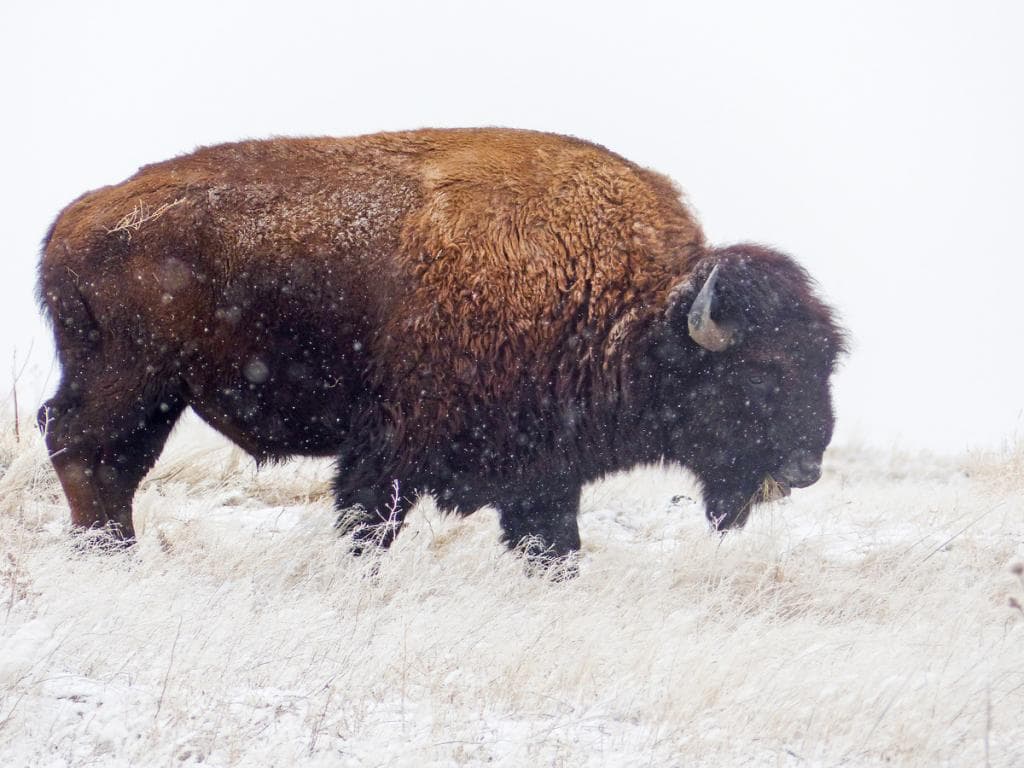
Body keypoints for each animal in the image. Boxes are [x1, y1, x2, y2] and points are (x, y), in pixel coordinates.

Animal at [38, 128, 845, 563]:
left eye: (824, 362)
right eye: (760, 374)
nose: (804, 467)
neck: (626, 308)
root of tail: (76, 217)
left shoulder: (545, 475)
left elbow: (553, 548)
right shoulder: (388, 451)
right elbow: (367, 529)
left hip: (154, 396)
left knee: (108, 462)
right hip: (129, 381)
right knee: (84, 449)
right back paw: (110, 557)